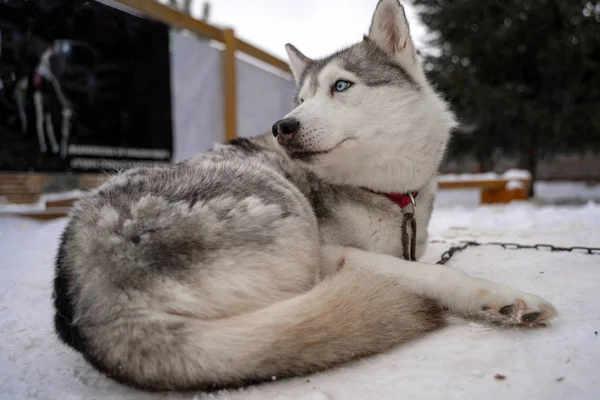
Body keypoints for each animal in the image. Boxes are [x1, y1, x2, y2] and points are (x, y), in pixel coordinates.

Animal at [52, 0, 556, 392]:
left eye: (341, 86)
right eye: (300, 98)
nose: (283, 126)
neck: (383, 192)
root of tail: (95, 303)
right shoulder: (336, 253)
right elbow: (434, 273)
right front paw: (502, 298)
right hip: (286, 210)